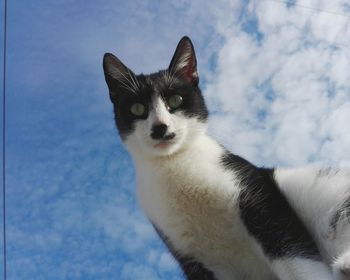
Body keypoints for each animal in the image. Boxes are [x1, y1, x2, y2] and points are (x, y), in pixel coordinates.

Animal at [102, 37, 350, 280]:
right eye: (137, 108)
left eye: (176, 100)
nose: (160, 127)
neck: (174, 164)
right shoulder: (188, 255)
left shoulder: (260, 195)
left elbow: (294, 254)